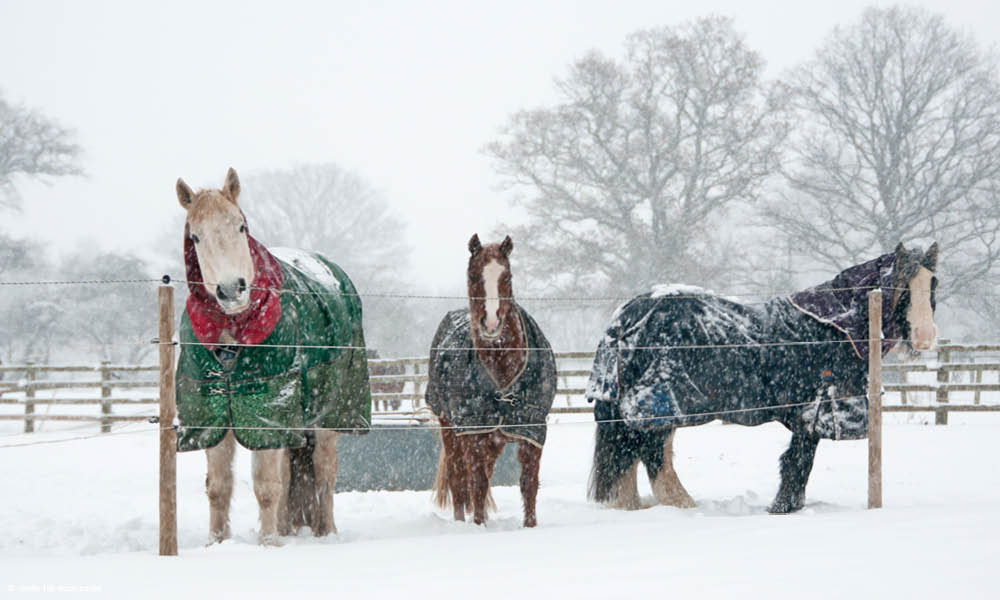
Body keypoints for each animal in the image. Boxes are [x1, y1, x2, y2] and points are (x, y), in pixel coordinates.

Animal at [426, 234, 560, 524]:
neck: (502, 368)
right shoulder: (473, 431)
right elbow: (476, 484)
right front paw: (479, 526)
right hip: (450, 428)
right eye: (473, 275)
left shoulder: (532, 430)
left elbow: (528, 484)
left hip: (494, 440)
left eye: (507, 276)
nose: (490, 323)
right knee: (459, 479)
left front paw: (530, 525)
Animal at [584, 241, 936, 512]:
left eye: (933, 284)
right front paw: (782, 509)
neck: (831, 326)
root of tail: (626, 316)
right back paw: (685, 507)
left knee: (631, 457)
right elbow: (798, 464)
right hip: (660, 408)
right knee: (654, 459)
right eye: (900, 286)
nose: (925, 337)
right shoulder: (813, 412)